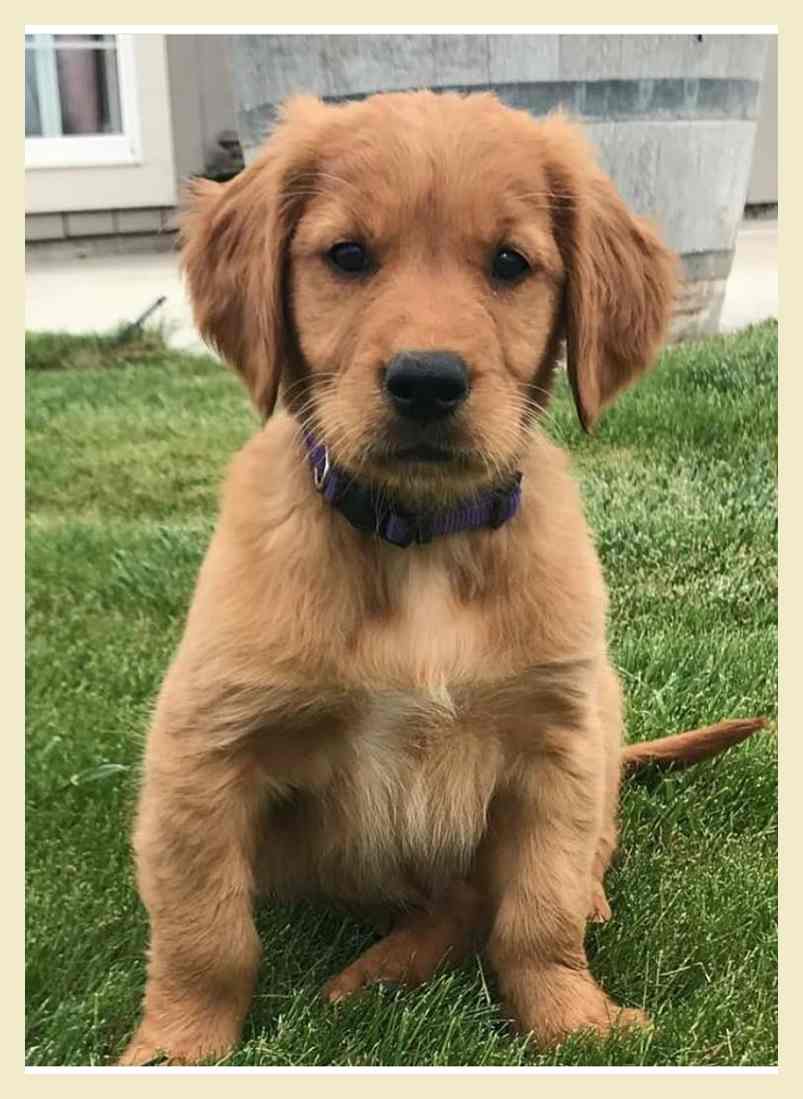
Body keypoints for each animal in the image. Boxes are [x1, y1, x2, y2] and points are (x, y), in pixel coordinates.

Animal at [119, 92, 764, 1063]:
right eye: (347, 256)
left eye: (509, 264)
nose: (426, 380)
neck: (418, 539)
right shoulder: (203, 747)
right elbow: (206, 929)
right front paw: (174, 1047)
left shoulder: (554, 746)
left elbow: (536, 910)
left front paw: (573, 1023)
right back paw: (377, 970)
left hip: (601, 709)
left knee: (547, 869)